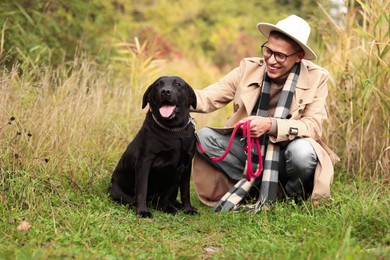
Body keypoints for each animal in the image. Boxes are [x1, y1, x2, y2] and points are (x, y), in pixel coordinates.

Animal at [109, 75, 198, 217]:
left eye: (178, 84)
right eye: (158, 85)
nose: (165, 91)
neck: (174, 131)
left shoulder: (185, 165)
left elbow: (184, 191)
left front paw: (187, 209)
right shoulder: (144, 162)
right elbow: (142, 189)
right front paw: (142, 211)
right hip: (116, 191)